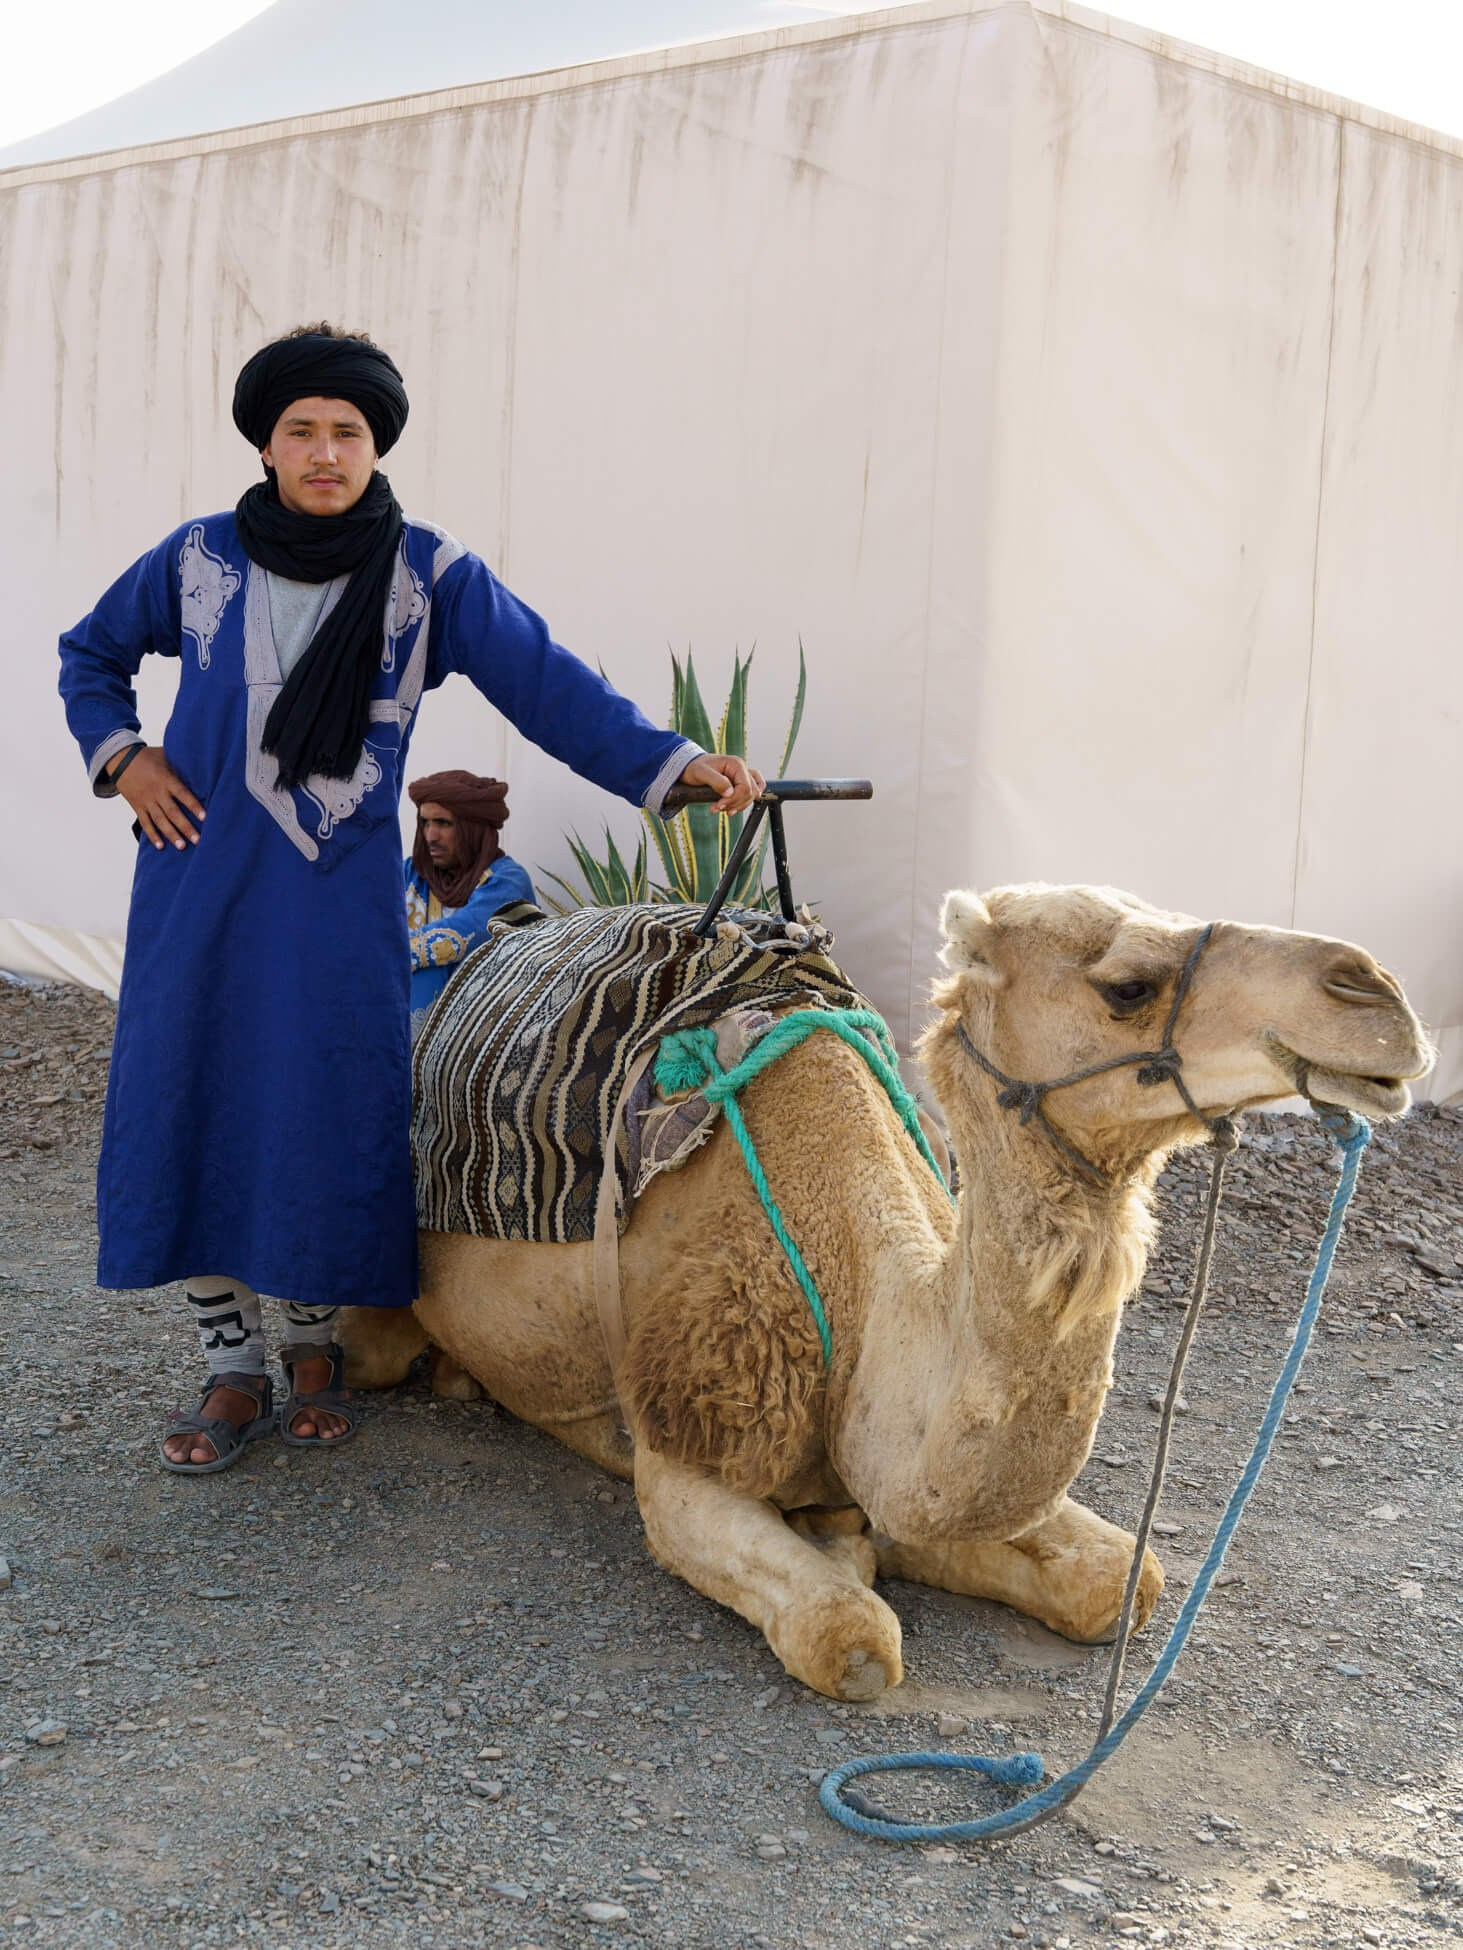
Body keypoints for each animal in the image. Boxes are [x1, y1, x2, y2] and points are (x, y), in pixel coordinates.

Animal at [341, 884, 1430, 1701]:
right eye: (1125, 985)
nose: (1377, 995)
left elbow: (1119, 1580)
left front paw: (867, 1543)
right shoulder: (687, 1441)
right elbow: (851, 1637)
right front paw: (849, 1564)